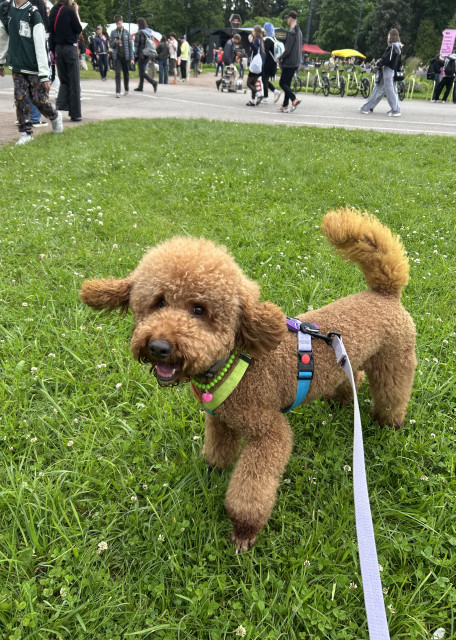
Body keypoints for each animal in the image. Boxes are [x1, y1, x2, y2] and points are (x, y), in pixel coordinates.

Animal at [80, 208, 417, 552]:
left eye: (199, 309)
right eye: (158, 302)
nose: (159, 347)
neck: (228, 363)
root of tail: (385, 293)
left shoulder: (268, 431)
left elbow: (251, 489)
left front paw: (243, 529)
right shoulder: (220, 419)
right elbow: (218, 450)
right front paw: (212, 470)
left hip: (395, 360)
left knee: (392, 395)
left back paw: (388, 423)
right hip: (349, 361)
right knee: (354, 376)